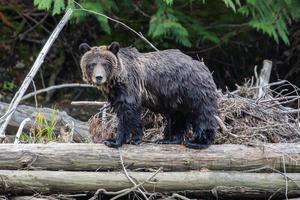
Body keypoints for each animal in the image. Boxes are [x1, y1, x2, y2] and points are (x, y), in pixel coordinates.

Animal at [79, 41, 218, 148]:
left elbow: (126, 112)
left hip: (193, 90)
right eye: (92, 64)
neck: (115, 80)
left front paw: (114, 140)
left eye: (105, 64)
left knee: (202, 113)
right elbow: (128, 112)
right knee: (178, 116)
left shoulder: (129, 87)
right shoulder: (116, 93)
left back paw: (198, 142)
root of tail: (203, 66)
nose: (99, 77)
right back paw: (168, 139)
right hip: (176, 96)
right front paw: (134, 138)